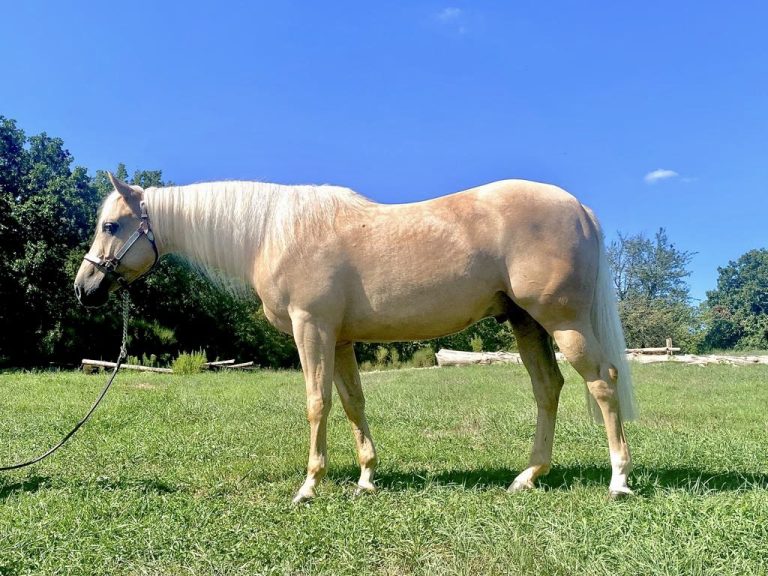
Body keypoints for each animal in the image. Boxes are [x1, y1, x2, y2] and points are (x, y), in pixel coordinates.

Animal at [74, 173, 637, 502]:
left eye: (111, 225)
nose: (84, 288)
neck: (272, 232)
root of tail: (580, 208)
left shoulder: (312, 328)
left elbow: (317, 402)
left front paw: (309, 485)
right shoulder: (339, 339)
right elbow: (352, 402)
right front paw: (367, 477)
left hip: (563, 322)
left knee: (602, 383)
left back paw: (618, 480)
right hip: (526, 324)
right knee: (548, 389)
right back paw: (528, 476)